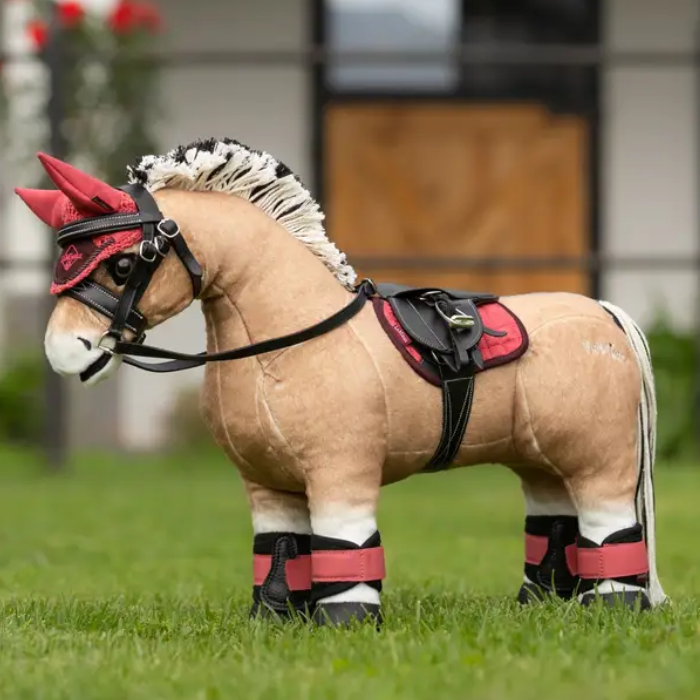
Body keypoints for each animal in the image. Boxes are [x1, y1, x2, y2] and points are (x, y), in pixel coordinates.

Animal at [15, 138, 666, 627]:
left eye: (123, 263)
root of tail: (605, 313)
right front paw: (274, 619)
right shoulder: (267, 484)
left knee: (610, 527)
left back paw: (613, 609)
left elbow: (345, 548)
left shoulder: (341, 472)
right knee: (553, 522)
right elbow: (279, 550)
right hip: (541, 459)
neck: (286, 344)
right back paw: (539, 606)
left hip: (601, 460)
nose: (63, 351)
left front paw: (345, 624)